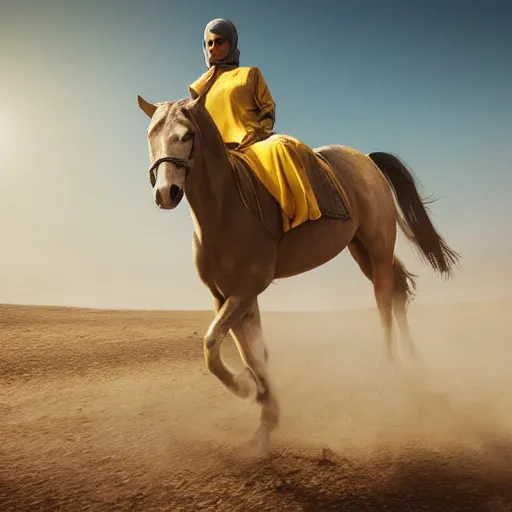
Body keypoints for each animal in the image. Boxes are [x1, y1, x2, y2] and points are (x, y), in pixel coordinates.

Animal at [136, 91, 460, 448]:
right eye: (151, 135)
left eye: (187, 135)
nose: (165, 193)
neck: (225, 210)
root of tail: (367, 160)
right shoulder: (224, 294)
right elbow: (250, 352)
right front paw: (265, 415)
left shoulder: (249, 286)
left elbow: (213, 345)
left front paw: (246, 389)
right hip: (360, 248)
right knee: (399, 288)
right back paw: (413, 361)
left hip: (377, 245)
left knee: (384, 299)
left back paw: (388, 367)